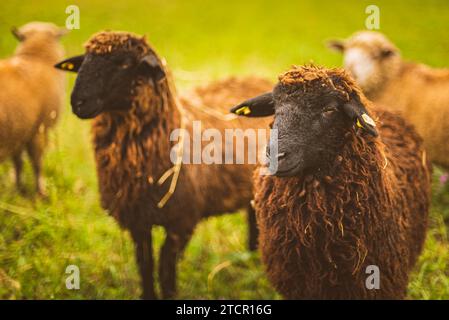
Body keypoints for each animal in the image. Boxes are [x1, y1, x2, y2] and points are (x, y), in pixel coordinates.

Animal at [0, 21, 67, 195]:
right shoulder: (38, 129)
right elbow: (37, 163)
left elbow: (18, 162)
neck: (36, 57)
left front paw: (18, 189)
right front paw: (41, 193)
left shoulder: (19, 131)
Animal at [54, 31, 272, 298]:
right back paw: (249, 259)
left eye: (124, 63)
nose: (78, 102)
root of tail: (259, 79)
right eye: (83, 61)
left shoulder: (181, 222)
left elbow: (165, 269)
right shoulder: (138, 220)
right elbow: (145, 265)